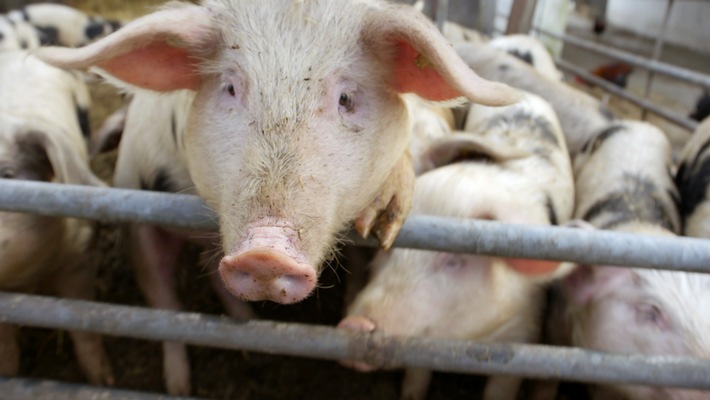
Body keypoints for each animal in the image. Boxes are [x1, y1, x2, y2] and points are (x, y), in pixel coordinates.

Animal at [0, 49, 112, 384]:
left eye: (8, 175)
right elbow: (5, 342)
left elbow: (83, 322)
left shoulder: (80, 258)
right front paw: (8, 375)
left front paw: (104, 380)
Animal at [36, 0, 520, 394]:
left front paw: (381, 220)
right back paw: (177, 382)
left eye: (346, 97)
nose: (265, 253)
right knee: (164, 305)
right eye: (231, 88)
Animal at [336, 90, 576, 400]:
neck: (468, 339)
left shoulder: (522, 333)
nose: (355, 324)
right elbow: (416, 378)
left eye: (454, 261)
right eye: (388, 251)